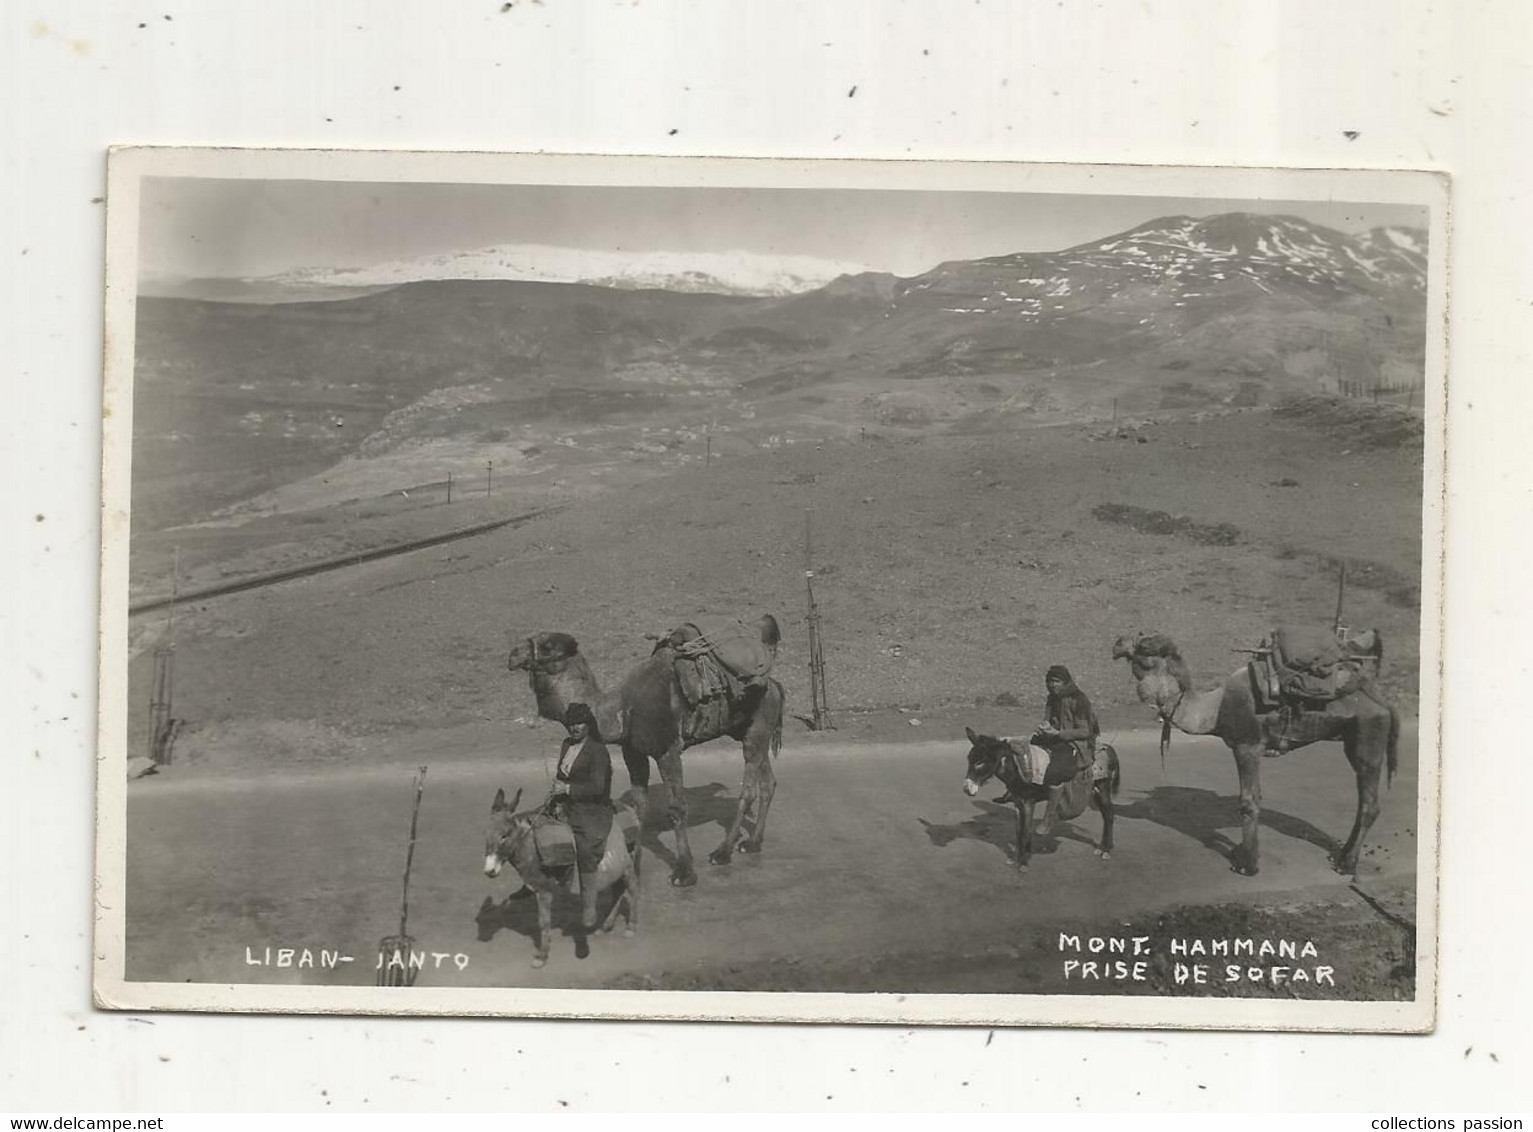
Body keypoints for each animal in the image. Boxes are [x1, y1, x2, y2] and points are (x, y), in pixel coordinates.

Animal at [508, 622, 784, 883]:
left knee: (749, 788)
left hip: (756, 727)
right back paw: (753, 843)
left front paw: (684, 872)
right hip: (747, 729)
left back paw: (722, 853)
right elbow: (640, 807)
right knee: (768, 782)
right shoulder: (633, 752)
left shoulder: (667, 750)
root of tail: (774, 685)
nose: (512, 654)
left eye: (547, 646)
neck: (620, 709)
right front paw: (633, 864)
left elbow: (677, 808)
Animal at [1116, 631, 1404, 877]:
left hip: (1368, 736)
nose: (1117, 644)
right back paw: (1341, 856)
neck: (1213, 709)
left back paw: (1348, 865)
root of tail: (1383, 700)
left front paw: (1248, 864)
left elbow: (1249, 801)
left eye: (1145, 647)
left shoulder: (1247, 745)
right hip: (1352, 738)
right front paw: (1240, 853)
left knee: (1369, 803)